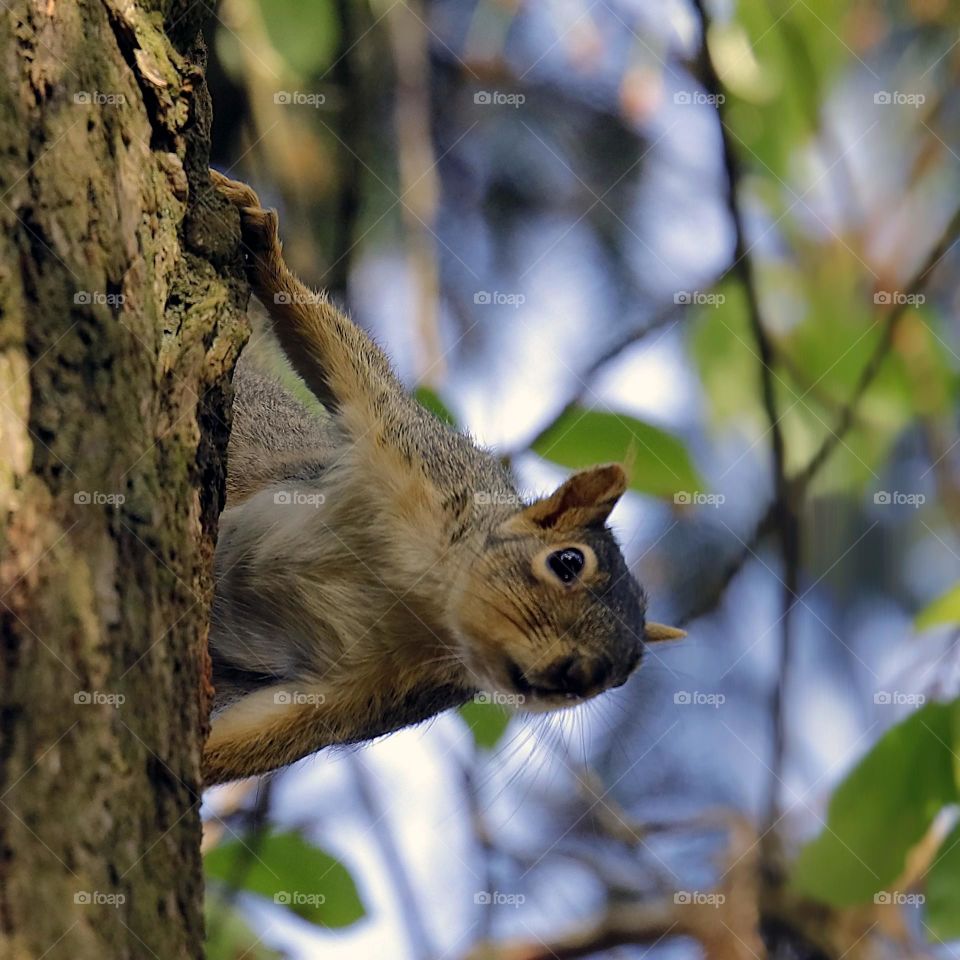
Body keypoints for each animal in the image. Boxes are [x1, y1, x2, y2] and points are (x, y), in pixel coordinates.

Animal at [203, 170, 685, 785]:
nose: (578, 676)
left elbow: (255, 739)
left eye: (624, 671)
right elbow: (348, 362)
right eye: (567, 562)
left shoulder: (360, 694)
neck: (426, 595)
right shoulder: (412, 456)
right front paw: (266, 248)